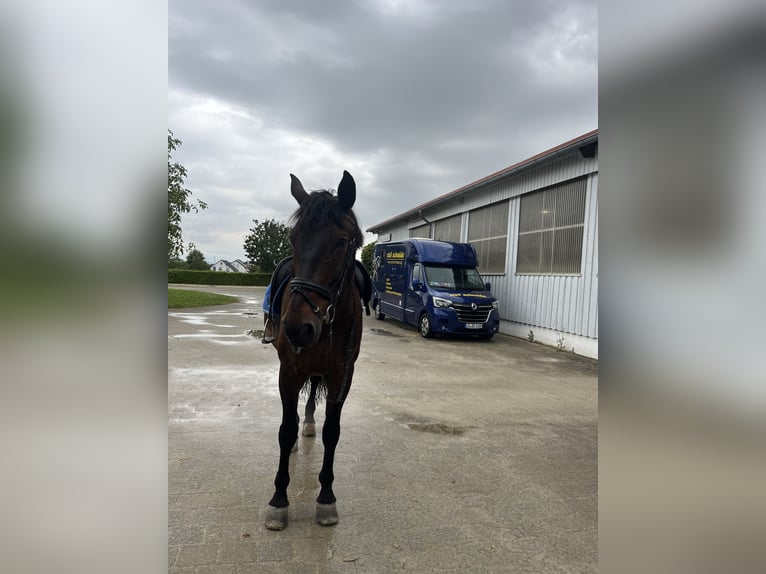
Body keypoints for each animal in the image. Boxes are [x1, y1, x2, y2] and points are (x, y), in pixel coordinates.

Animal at [268, 170, 366, 532]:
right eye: (293, 238)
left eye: (341, 241)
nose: (298, 327)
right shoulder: (288, 370)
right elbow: (284, 431)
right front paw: (278, 500)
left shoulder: (341, 376)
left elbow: (332, 433)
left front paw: (326, 498)